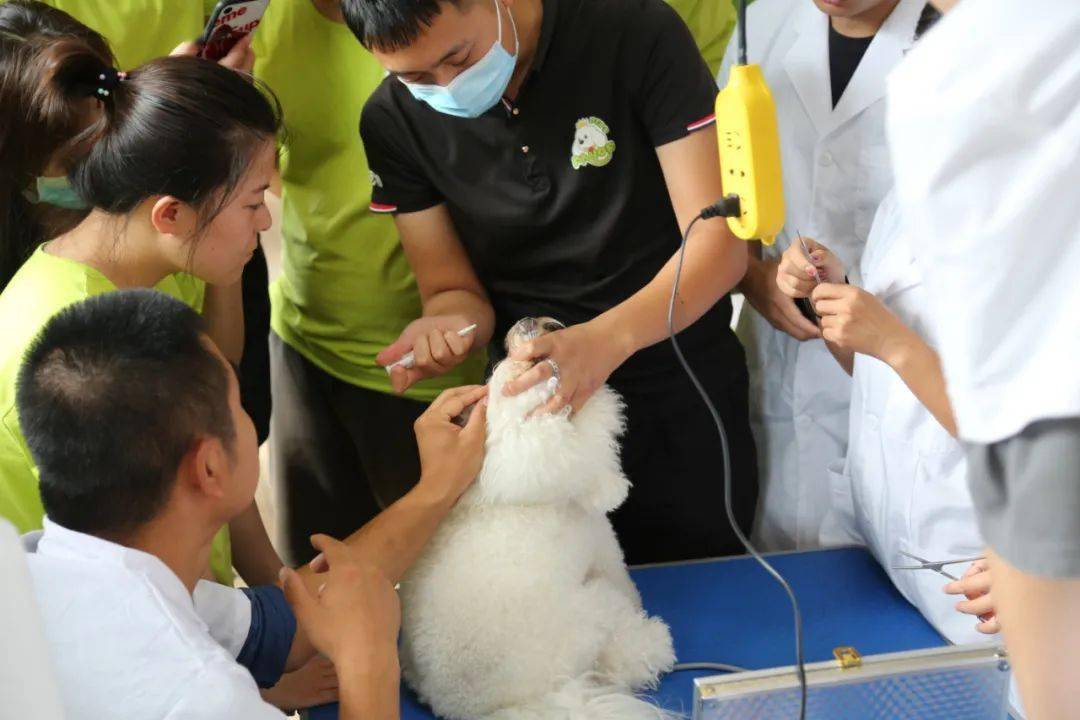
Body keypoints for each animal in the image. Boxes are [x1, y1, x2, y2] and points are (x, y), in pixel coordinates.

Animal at [401, 317, 678, 716]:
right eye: (536, 375)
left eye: (494, 376)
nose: (534, 322)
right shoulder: (603, 551)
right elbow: (624, 581)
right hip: (591, 612)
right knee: (618, 648)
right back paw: (654, 645)